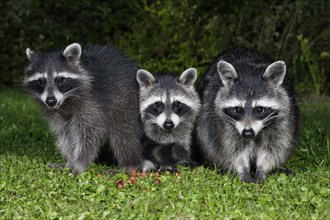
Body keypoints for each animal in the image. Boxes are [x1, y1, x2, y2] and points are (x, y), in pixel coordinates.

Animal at [25, 43, 144, 175]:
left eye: (60, 80)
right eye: (41, 81)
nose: (51, 100)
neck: (66, 100)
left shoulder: (91, 102)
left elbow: (89, 134)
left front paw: (79, 164)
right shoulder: (57, 113)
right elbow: (65, 134)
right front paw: (69, 161)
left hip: (126, 101)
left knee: (123, 133)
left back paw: (129, 165)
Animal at [196, 47, 300, 182]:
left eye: (260, 109)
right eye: (238, 109)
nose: (248, 133)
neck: (250, 73)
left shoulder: (282, 120)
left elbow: (273, 148)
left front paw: (262, 169)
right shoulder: (223, 123)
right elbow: (232, 149)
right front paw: (242, 170)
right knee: (208, 139)